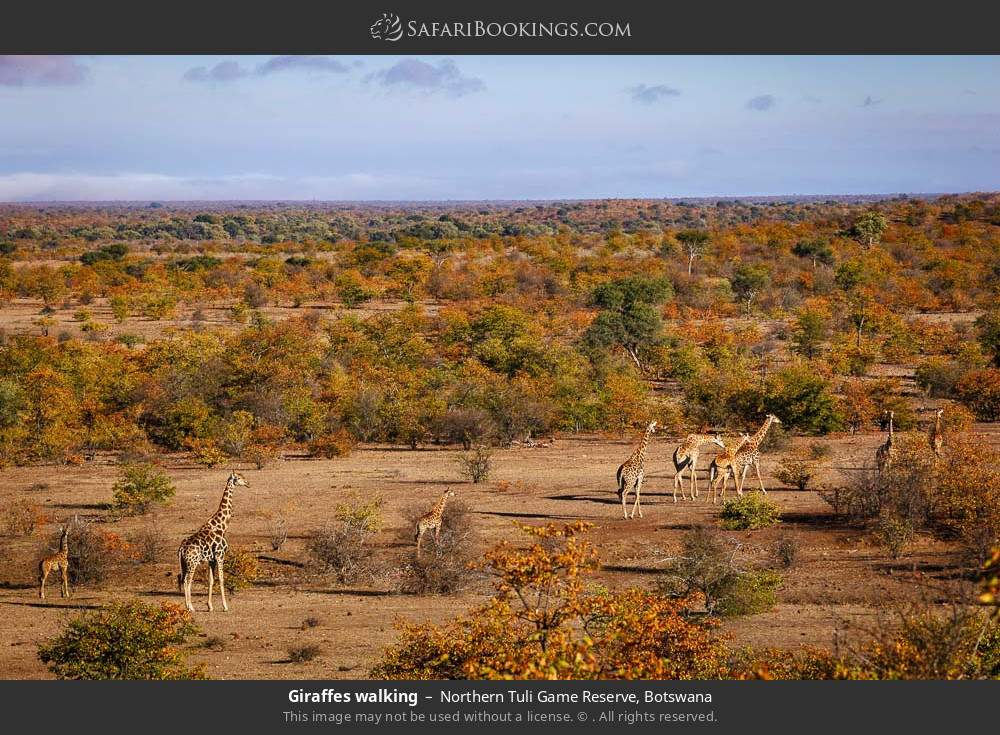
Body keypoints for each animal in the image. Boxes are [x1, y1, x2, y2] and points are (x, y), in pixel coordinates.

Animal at [176, 472, 248, 616]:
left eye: (242, 476)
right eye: (238, 478)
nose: (247, 482)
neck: (221, 526)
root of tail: (181, 549)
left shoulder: (211, 560)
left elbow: (211, 580)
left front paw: (210, 606)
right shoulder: (220, 555)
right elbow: (221, 579)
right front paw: (225, 606)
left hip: (184, 563)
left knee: (183, 579)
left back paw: (187, 606)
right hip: (192, 563)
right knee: (187, 581)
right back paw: (190, 607)